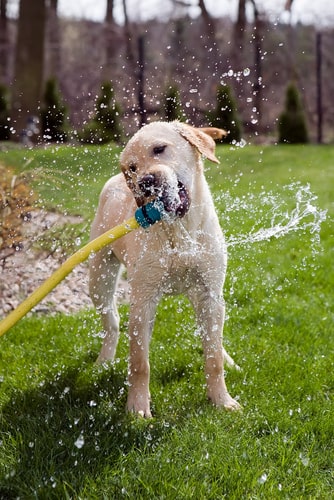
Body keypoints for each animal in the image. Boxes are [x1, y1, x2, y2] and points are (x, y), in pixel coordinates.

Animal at [88, 121, 240, 418]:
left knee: (214, 337)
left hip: (202, 296)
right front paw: (137, 408)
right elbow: (139, 363)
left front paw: (221, 400)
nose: (145, 182)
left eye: (159, 149)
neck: (179, 233)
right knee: (112, 322)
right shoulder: (143, 301)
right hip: (99, 279)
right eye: (132, 167)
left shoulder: (210, 294)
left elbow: (213, 357)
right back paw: (104, 361)